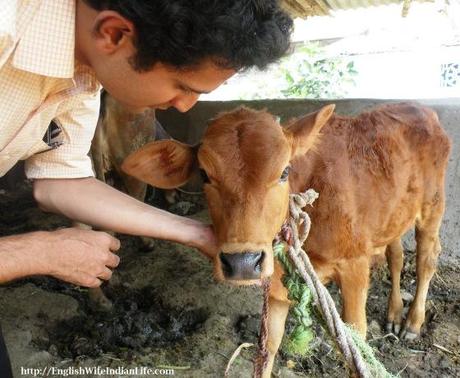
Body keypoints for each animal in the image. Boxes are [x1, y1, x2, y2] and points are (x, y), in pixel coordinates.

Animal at [121, 102, 450, 376]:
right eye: (204, 174)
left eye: (284, 172)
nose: (243, 262)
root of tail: (421, 109)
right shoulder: (276, 283)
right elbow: (268, 348)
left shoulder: (354, 263)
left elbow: (356, 341)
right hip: (393, 215)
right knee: (396, 254)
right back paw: (394, 312)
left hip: (432, 208)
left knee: (426, 259)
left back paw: (412, 322)